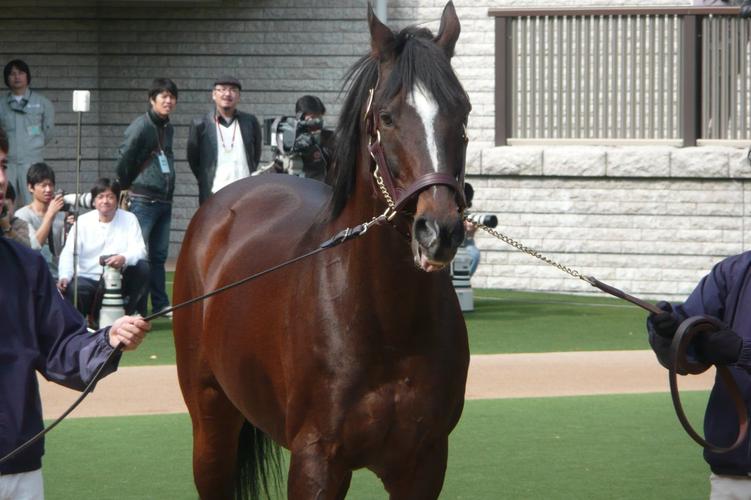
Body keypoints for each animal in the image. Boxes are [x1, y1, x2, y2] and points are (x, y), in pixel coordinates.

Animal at [173, 3, 472, 498]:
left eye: (462, 111)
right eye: (387, 117)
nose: (439, 231)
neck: (386, 320)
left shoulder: (425, 462)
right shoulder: (317, 460)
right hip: (211, 422)